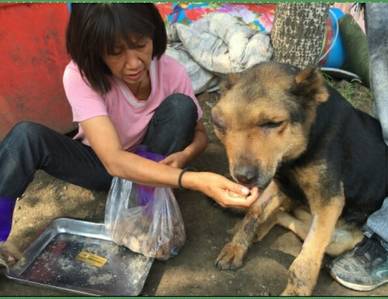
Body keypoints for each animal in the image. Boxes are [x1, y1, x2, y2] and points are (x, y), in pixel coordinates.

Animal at [212, 61, 388, 296]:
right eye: (220, 125)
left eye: (272, 123)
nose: (243, 177)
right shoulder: (278, 180)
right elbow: (254, 211)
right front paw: (237, 246)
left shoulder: (329, 201)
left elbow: (306, 258)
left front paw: (296, 290)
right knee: (280, 215)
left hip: (338, 239)